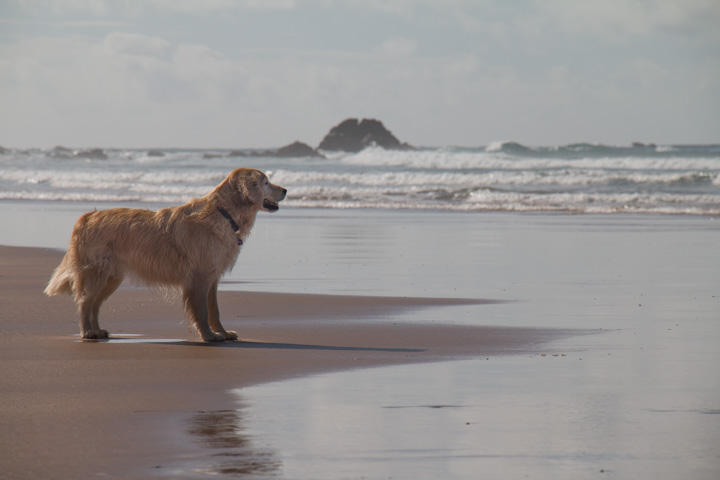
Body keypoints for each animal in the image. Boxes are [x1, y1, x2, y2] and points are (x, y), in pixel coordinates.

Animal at [43, 169, 286, 342]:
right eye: (265, 182)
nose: (285, 190)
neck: (223, 213)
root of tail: (87, 216)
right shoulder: (199, 278)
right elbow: (202, 311)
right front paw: (208, 336)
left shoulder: (212, 277)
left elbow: (214, 310)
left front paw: (222, 333)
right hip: (98, 273)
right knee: (85, 302)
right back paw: (87, 332)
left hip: (112, 277)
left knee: (94, 304)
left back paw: (98, 330)